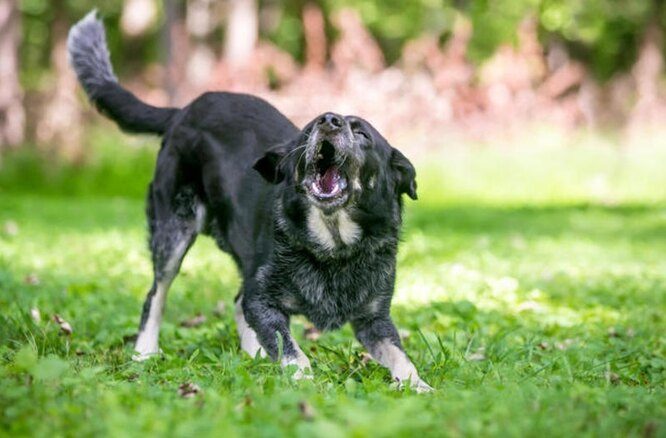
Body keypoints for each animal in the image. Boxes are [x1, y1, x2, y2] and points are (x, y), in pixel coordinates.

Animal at [68, 12, 430, 392]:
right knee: (157, 294)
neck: (334, 246)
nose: (328, 120)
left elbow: (401, 357)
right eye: (307, 131)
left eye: (361, 133)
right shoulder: (263, 299)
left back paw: (254, 355)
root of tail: (182, 111)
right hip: (173, 232)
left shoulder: (375, 319)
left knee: (236, 301)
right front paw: (302, 379)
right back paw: (145, 352)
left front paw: (421, 387)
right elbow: (291, 348)